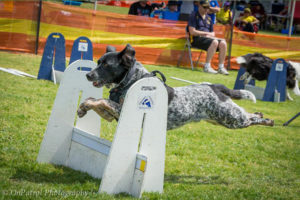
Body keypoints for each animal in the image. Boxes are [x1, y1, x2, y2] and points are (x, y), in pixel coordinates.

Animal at [77, 44, 274, 130]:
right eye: (98, 62)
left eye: (106, 65)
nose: (88, 75)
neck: (132, 80)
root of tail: (215, 87)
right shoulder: (114, 113)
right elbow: (93, 99)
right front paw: (82, 108)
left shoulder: (123, 109)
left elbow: (100, 100)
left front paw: (85, 107)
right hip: (223, 118)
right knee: (250, 114)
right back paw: (261, 115)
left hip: (232, 118)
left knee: (250, 119)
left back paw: (268, 121)